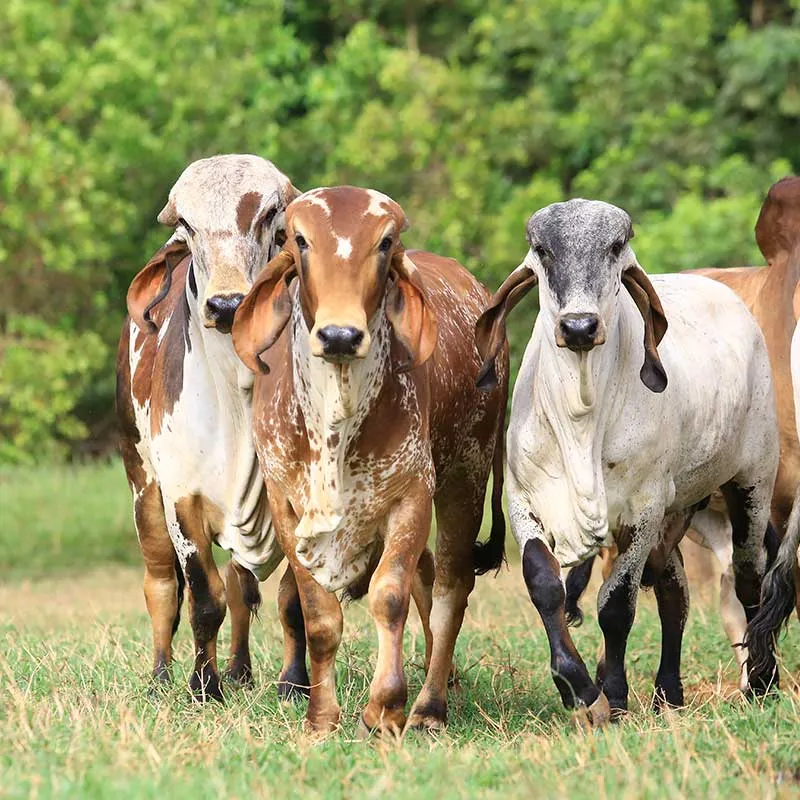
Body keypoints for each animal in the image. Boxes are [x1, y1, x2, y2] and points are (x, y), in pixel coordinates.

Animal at [231, 188, 506, 736]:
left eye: (385, 242)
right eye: (300, 240)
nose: (340, 335)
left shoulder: (412, 494)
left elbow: (389, 597)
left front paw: (385, 708)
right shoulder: (286, 504)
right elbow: (318, 615)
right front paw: (321, 718)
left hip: (467, 475)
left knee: (449, 589)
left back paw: (430, 705)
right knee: (428, 578)